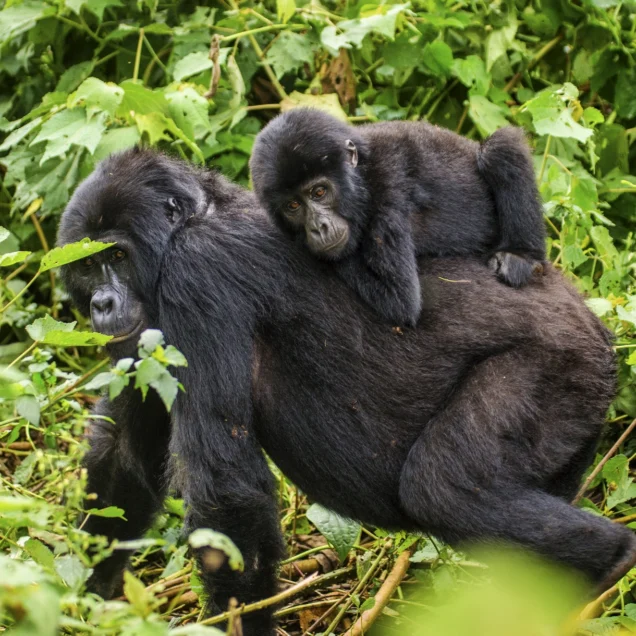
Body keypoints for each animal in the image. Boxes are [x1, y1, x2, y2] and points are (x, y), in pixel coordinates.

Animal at [58, 148, 636, 632]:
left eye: (117, 256)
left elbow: (226, 495)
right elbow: (123, 460)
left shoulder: (196, 272)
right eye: (87, 264)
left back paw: (610, 563)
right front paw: (82, 602)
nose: (102, 305)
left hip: (563, 360)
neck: (197, 216)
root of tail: (595, 320)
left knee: (444, 487)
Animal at [251, 109, 544, 326]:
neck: (362, 175)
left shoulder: (387, 196)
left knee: (501, 148)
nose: (318, 227)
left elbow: (399, 300)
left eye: (319, 192)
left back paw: (521, 256)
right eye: (293, 206)